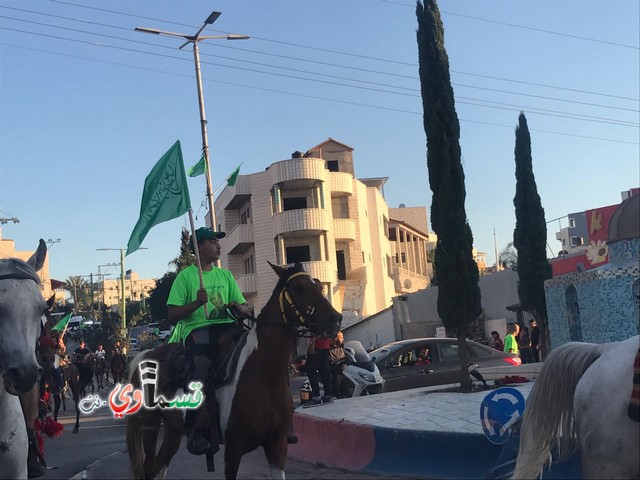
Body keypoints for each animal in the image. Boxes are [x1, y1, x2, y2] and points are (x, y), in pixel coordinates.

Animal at [124, 262, 340, 480]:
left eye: (319, 286)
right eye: (298, 287)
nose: (335, 319)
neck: (264, 374)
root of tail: (146, 355)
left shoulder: (277, 444)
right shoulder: (233, 448)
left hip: (173, 431)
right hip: (150, 426)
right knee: (150, 467)